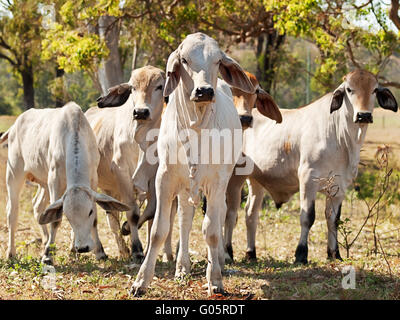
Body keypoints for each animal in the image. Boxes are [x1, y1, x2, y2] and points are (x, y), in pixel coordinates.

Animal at [3, 103, 130, 264]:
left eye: (89, 212)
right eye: (68, 216)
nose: (82, 248)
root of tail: (14, 126)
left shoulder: (93, 180)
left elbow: (95, 220)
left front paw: (100, 252)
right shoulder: (54, 181)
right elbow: (56, 220)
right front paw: (47, 255)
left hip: (43, 183)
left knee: (38, 206)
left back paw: (46, 240)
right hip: (14, 173)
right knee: (12, 212)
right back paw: (11, 252)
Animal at [86, 65, 169, 262]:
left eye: (159, 86)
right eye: (132, 88)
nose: (140, 112)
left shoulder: (153, 177)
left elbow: (150, 211)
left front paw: (127, 231)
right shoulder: (122, 172)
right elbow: (133, 213)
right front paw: (137, 249)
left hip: (110, 189)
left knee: (112, 217)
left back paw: (122, 249)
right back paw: (99, 250)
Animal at [130, 31, 256, 296]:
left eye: (218, 61)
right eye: (185, 60)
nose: (204, 91)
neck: (196, 128)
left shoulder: (217, 184)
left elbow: (211, 231)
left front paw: (215, 279)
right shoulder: (164, 179)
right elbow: (158, 231)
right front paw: (141, 282)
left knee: (216, 221)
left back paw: (216, 263)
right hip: (185, 186)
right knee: (184, 222)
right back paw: (182, 268)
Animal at [225, 69, 396, 264]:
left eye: (374, 90)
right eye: (349, 89)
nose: (364, 115)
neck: (342, 139)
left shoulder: (339, 187)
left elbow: (333, 219)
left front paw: (334, 253)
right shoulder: (308, 180)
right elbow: (308, 217)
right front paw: (301, 254)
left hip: (256, 182)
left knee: (250, 214)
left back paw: (251, 253)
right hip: (234, 178)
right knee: (230, 214)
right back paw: (228, 252)